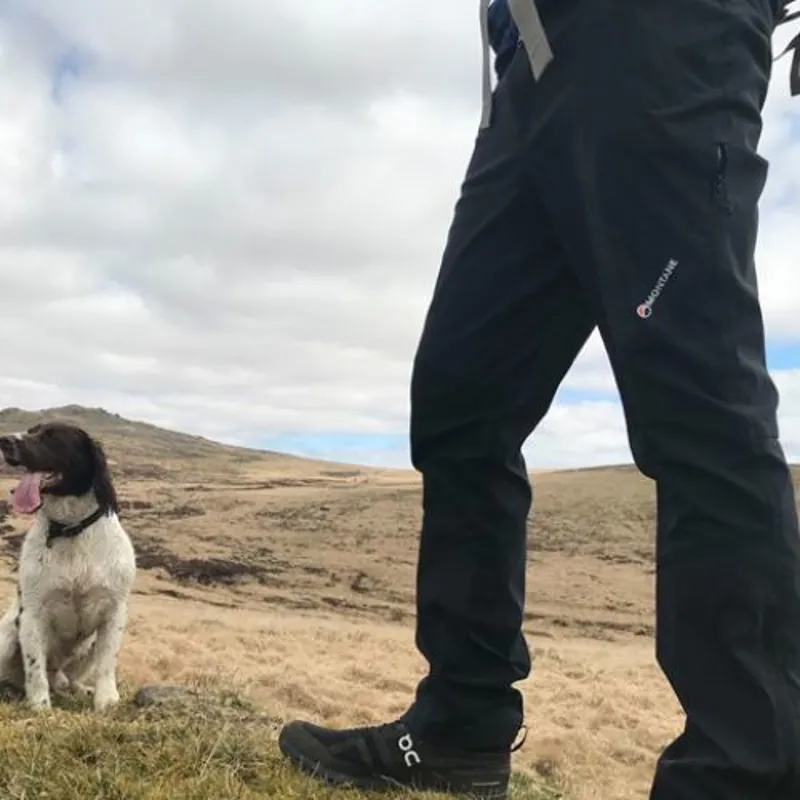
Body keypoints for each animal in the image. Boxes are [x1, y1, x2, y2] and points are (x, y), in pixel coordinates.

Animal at [0, 421, 136, 711]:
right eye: (31, 430)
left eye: (52, 436)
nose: (5, 440)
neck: (70, 530)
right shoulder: (32, 614)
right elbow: (35, 668)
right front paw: (40, 706)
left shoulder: (114, 611)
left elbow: (107, 663)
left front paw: (106, 700)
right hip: (6, 637)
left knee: (67, 679)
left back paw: (77, 688)